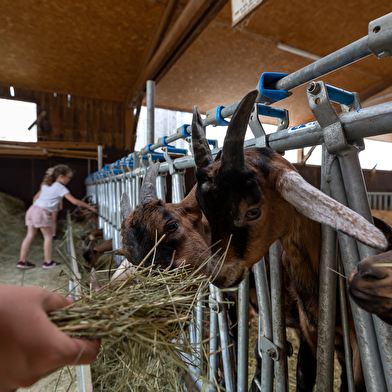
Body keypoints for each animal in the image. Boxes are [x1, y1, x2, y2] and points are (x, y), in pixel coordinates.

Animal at [191, 89, 388, 392]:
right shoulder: (311, 332)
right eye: (204, 208)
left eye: (252, 210)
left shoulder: (358, 349)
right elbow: (297, 369)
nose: (219, 274)